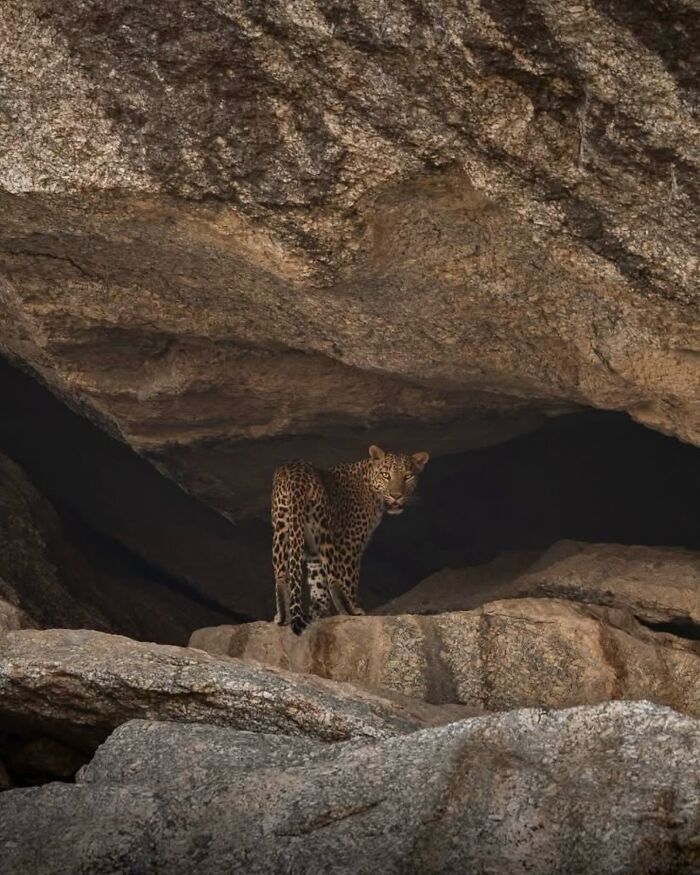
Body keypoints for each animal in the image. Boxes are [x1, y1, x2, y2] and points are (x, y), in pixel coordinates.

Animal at [271, 444, 430, 635]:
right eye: (386, 475)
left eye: (407, 476)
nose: (396, 495)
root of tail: (296, 470)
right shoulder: (349, 543)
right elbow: (348, 581)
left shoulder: (313, 553)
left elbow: (318, 584)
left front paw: (319, 614)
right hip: (324, 531)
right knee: (334, 578)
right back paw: (351, 611)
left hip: (281, 527)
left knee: (281, 576)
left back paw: (282, 617)